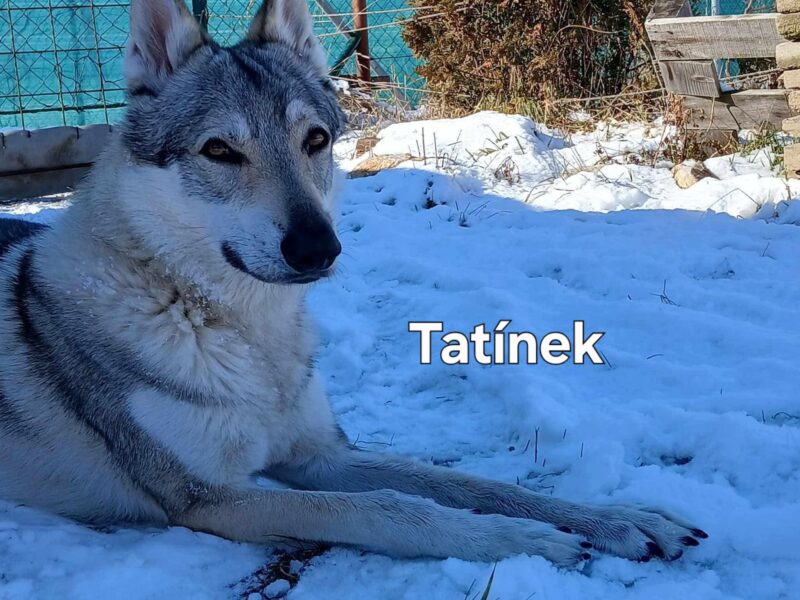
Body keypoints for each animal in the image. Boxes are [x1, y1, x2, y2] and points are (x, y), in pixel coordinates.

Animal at [0, 0, 706, 568]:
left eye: (315, 140)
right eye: (220, 151)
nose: (319, 247)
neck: (248, 336)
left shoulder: (320, 455)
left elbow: (479, 487)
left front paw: (623, 521)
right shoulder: (209, 501)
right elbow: (390, 509)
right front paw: (524, 542)